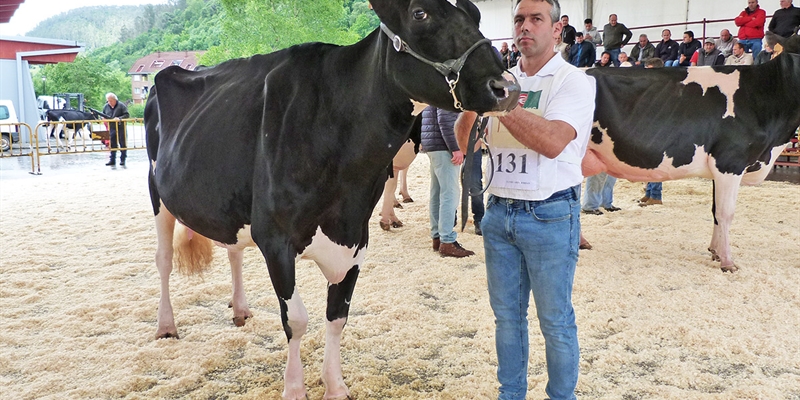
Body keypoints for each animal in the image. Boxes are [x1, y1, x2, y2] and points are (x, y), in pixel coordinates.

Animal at [143, 1, 520, 398]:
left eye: (476, 14)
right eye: (420, 13)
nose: (507, 87)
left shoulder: (356, 239)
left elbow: (337, 316)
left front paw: (335, 386)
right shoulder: (275, 238)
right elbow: (296, 320)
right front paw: (294, 388)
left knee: (233, 249)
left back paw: (241, 308)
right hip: (158, 194)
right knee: (163, 259)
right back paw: (166, 325)